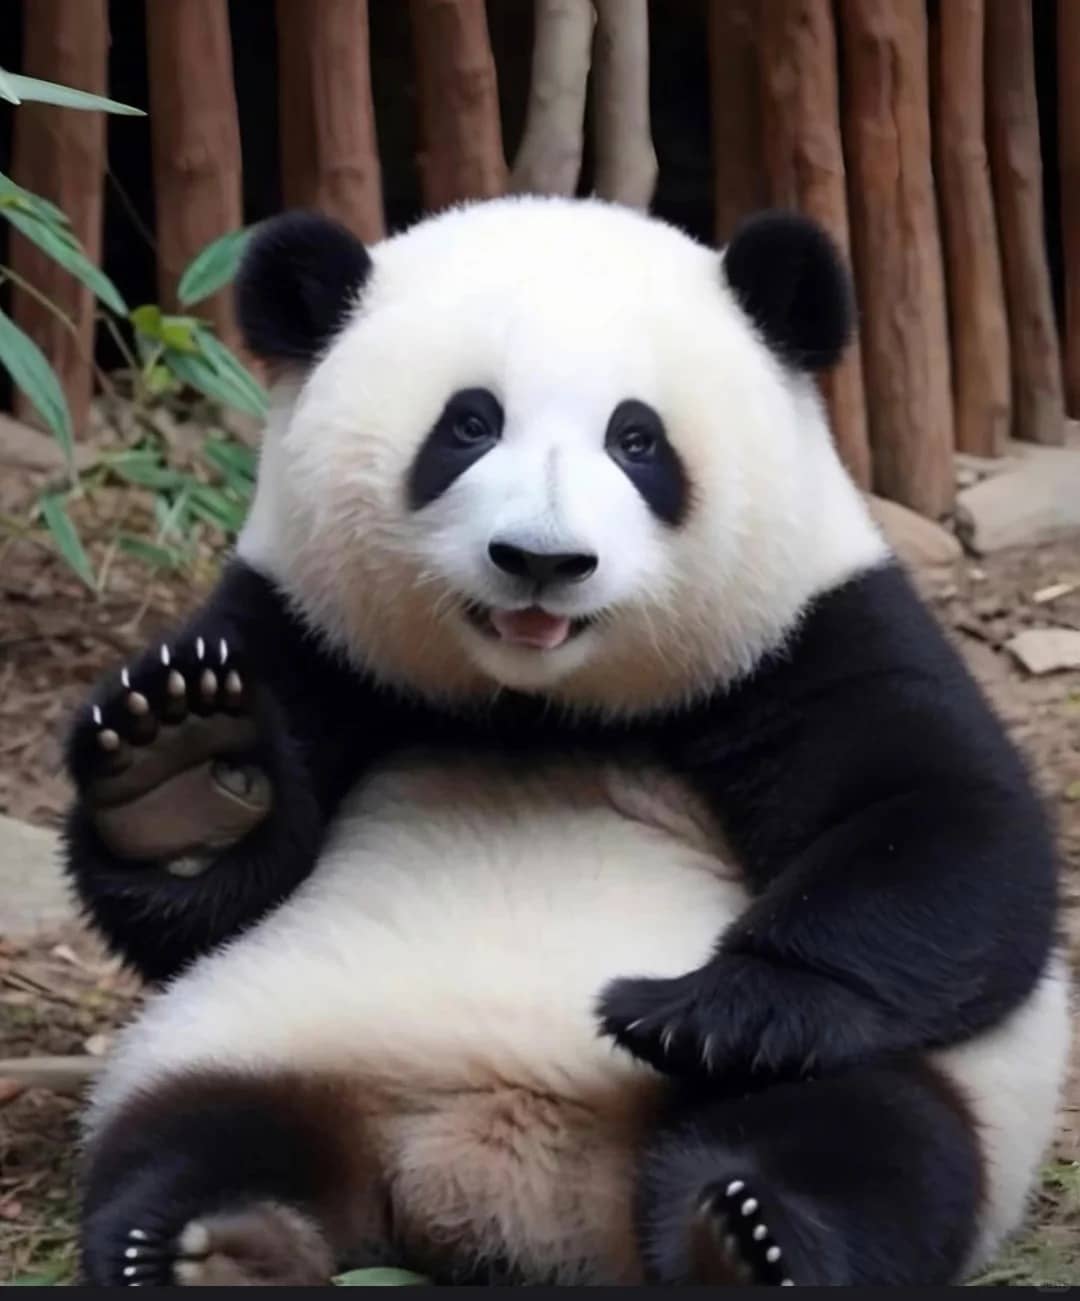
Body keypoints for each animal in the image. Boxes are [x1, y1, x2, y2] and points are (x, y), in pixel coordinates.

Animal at [63, 197, 1069, 1287]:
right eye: (468, 424)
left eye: (638, 439)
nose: (542, 559)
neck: (539, 705)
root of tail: (504, 1177)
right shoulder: (304, 635)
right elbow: (195, 912)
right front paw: (181, 764)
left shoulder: (812, 630)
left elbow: (950, 831)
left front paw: (711, 1007)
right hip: (249, 1034)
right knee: (193, 1138)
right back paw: (217, 1246)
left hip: (883, 1081)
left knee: (866, 1136)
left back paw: (752, 1236)